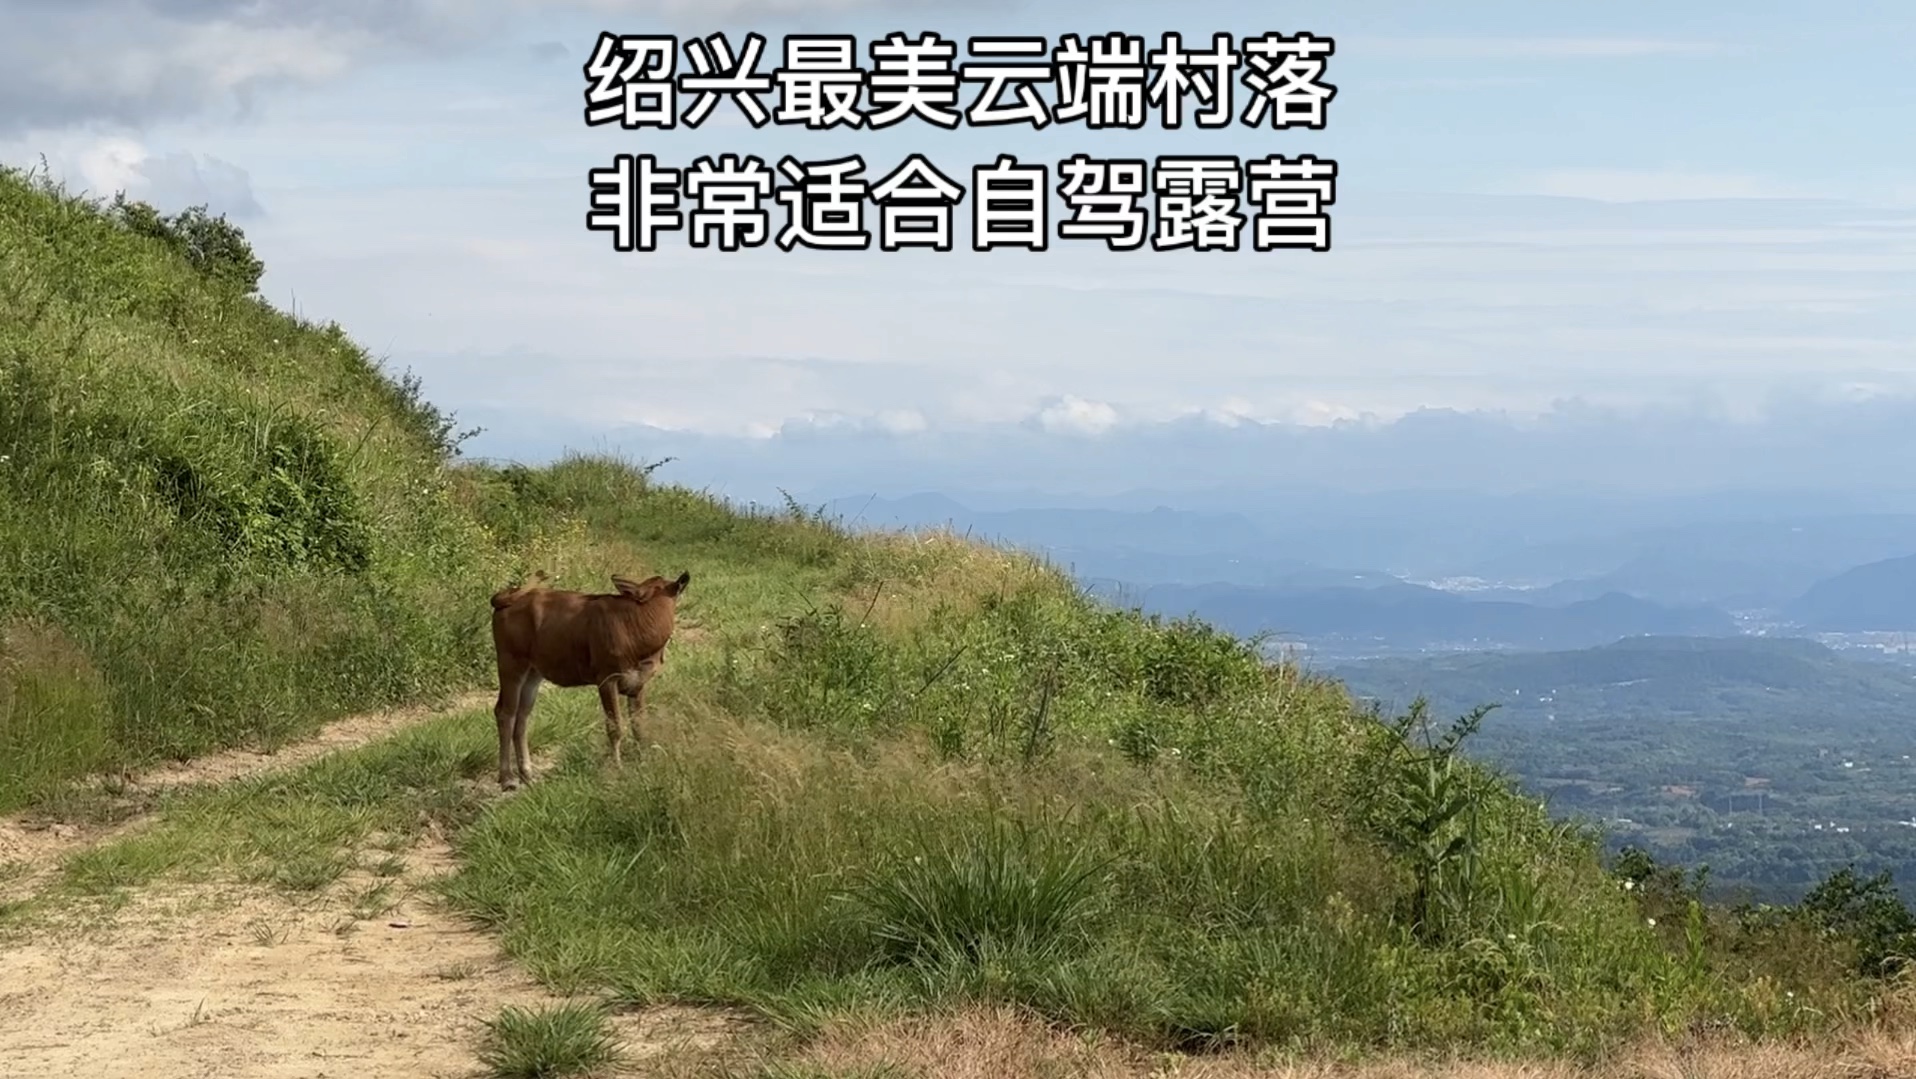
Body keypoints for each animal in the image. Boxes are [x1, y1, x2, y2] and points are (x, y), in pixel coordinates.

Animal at [486, 571, 689, 789]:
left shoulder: (638, 683)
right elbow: (615, 727)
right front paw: (617, 768)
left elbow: (639, 725)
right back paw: (507, 778)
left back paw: (527, 774)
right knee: (505, 712)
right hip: (511, 664)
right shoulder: (607, 679)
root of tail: (504, 598)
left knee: (522, 715)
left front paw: (644, 760)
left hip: (533, 672)